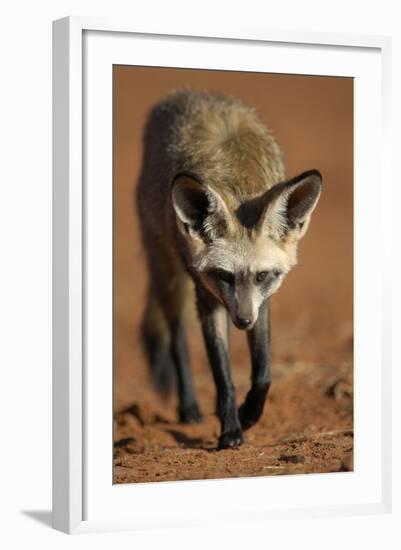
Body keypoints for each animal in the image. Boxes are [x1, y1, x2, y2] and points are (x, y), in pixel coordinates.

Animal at [136, 90, 320, 450]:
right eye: (224, 275)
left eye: (262, 276)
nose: (243, 321)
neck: (238, 180)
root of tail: (185, 93)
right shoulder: (207, 297)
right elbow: (223, 376)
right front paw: (231, 430)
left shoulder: (262, 301)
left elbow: (263, 372)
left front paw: (249, 414)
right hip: (169, 274)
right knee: (177, 339)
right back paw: (189, 407)